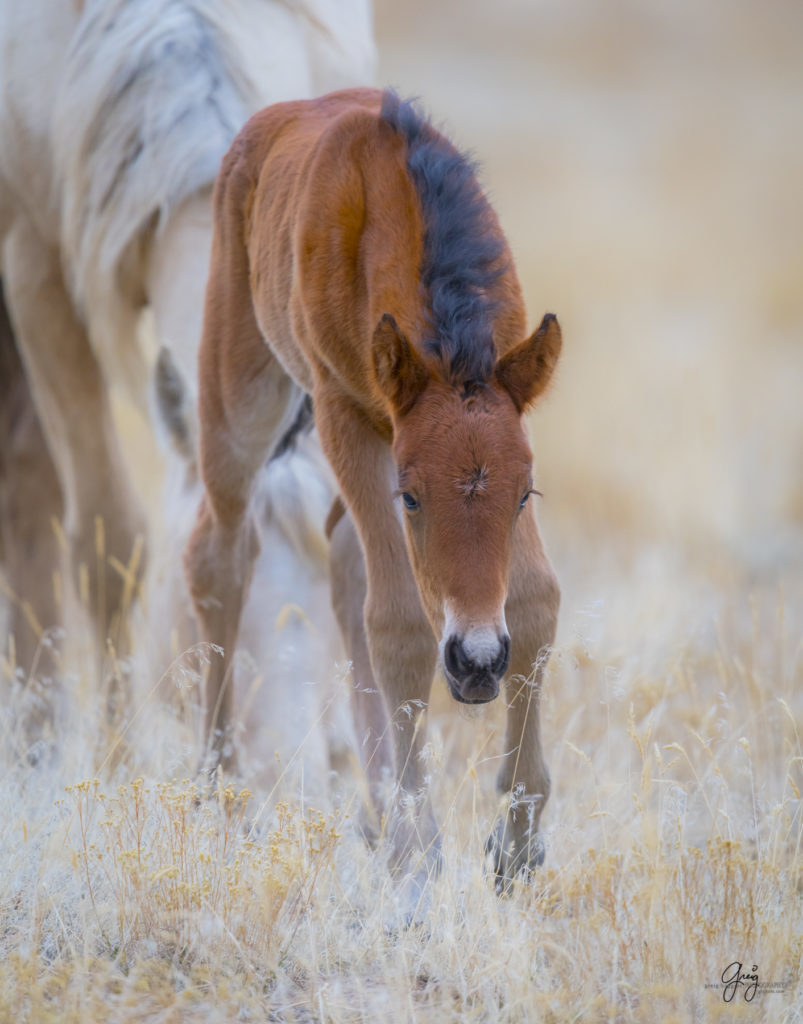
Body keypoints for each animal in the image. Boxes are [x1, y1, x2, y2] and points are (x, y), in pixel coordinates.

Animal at [0, 0, 374, 770]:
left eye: (339, 579)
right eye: (195, 581)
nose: (284, 772)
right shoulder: (35, 269)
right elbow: (108, 541)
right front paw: (115, 763)